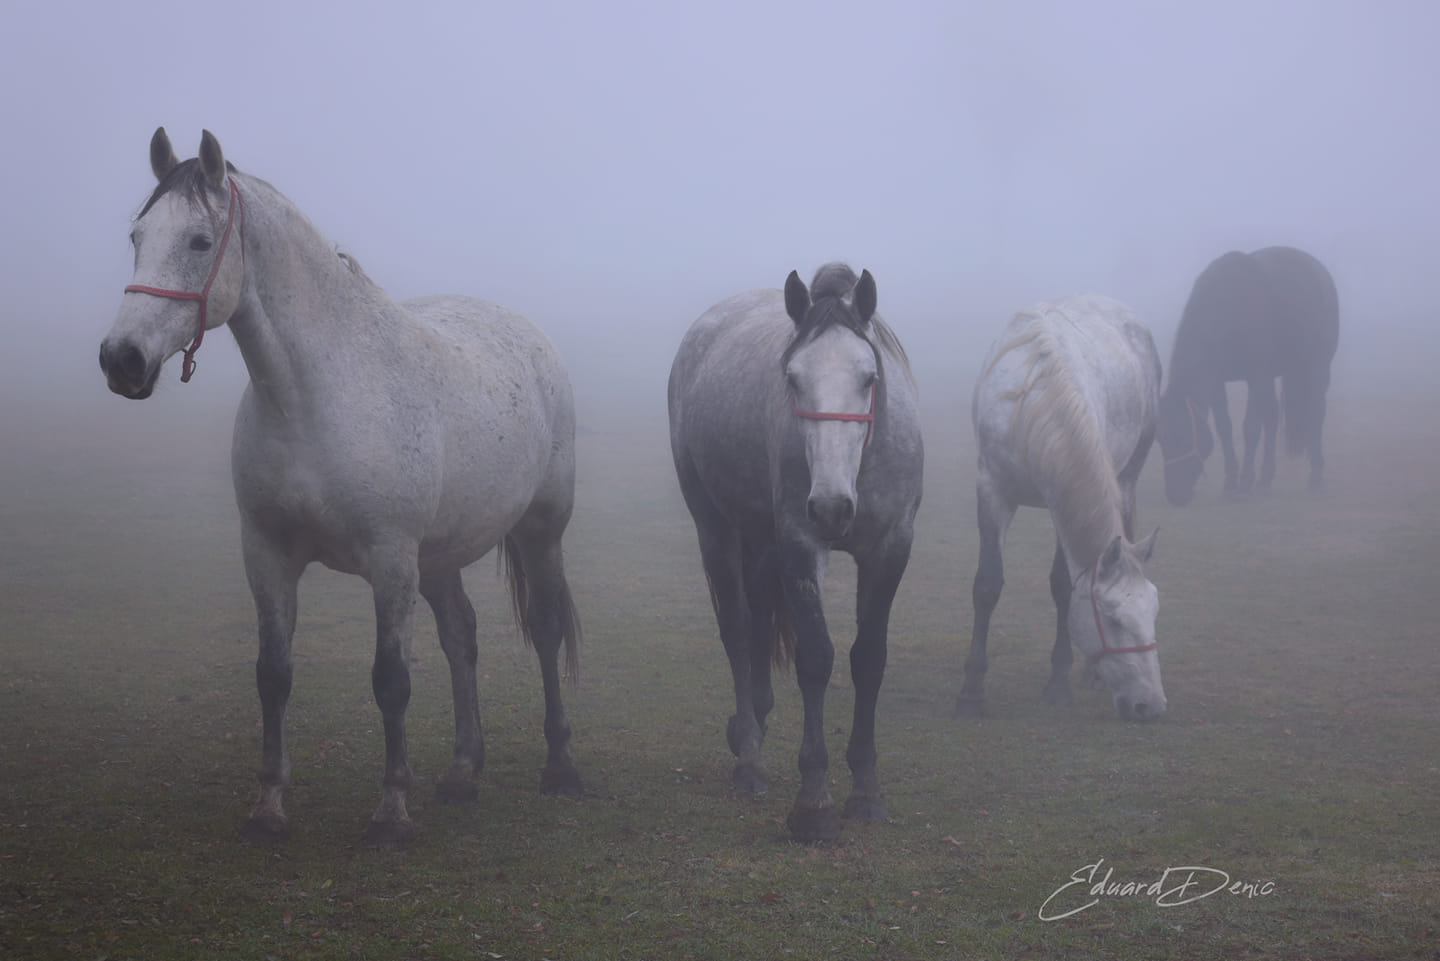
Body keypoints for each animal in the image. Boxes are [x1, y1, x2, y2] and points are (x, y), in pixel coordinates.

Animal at [97, 131, 584, 847]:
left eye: (199, 241)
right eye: (136, 235)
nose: (121, 359)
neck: (315, 396)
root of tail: (528, 335)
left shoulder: (390, 558)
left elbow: (392, 680)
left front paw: (391, 811)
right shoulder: (268, 553)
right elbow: (273, 676)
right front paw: (268, 807)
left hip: (539, 528)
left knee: (545, 629)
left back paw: (559, 767)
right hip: (438, 557)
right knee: (460, 637)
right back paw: (462, 773)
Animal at [665, 263, 921, 841]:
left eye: (868, 378)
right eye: (793, 379)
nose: (829, 507)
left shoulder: (890, 550)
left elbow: (869, 659)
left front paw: (866, 791)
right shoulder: (802, 547)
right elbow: (817, 657)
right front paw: (814, 804)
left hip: (761, 539)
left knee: (760, 619)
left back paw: (754, 721)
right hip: (715, 526)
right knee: (739, 630)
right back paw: (750, 757)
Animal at [956, 293, 1169, 720]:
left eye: (1153, 613)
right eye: (1113, 619)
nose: (1151, 706)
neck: (1034, 401)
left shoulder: (1062, 503)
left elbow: (1062, 587)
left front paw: (1058, 684)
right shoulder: (992, 490)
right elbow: (987, 584)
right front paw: (971, 692)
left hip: (1127, 478)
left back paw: (1093, 674)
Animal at [1152, 244, 1342, 507]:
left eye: (1183, 436)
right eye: (1162, 440)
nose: (1175, 495)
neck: (1230, 309)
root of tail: (1320, 273)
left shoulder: (1258, 377)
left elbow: (1252, 427)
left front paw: (1248, 482)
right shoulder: (1218, 382)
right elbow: (1225, 427)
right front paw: (1232, 482)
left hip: (1318, 368)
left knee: (1316, 414)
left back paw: (1315, 477)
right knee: (1272, 416)